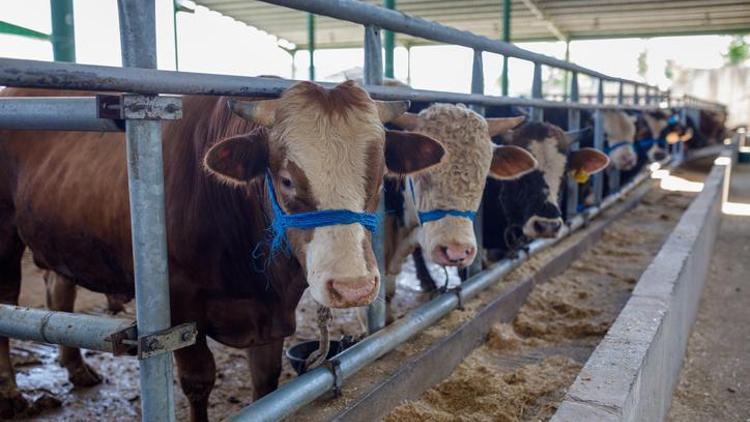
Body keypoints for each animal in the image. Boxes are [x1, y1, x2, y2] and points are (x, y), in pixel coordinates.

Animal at [0, 81, 446, 420]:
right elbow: (199, 381)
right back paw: (12, 394)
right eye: (286, 179)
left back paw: (77, 368)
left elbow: (266, 381)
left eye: (378, 176)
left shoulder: (271, 317)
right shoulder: (178, 305)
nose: (353, 287)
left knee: (59, 291)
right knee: (9, 297)